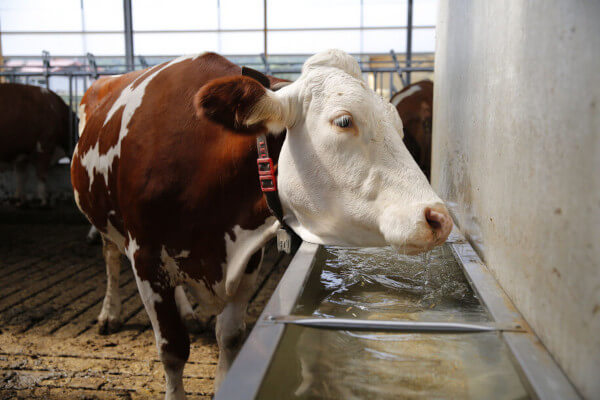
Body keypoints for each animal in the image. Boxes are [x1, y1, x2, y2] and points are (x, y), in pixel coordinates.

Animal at [70, 50, 452, 400]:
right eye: (344, 121)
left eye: (400, 128)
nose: (438, 217)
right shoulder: (146, 258)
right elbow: (173, 350)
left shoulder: (248, 255)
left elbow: (230, 334)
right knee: (109, 255)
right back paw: (109, 313)